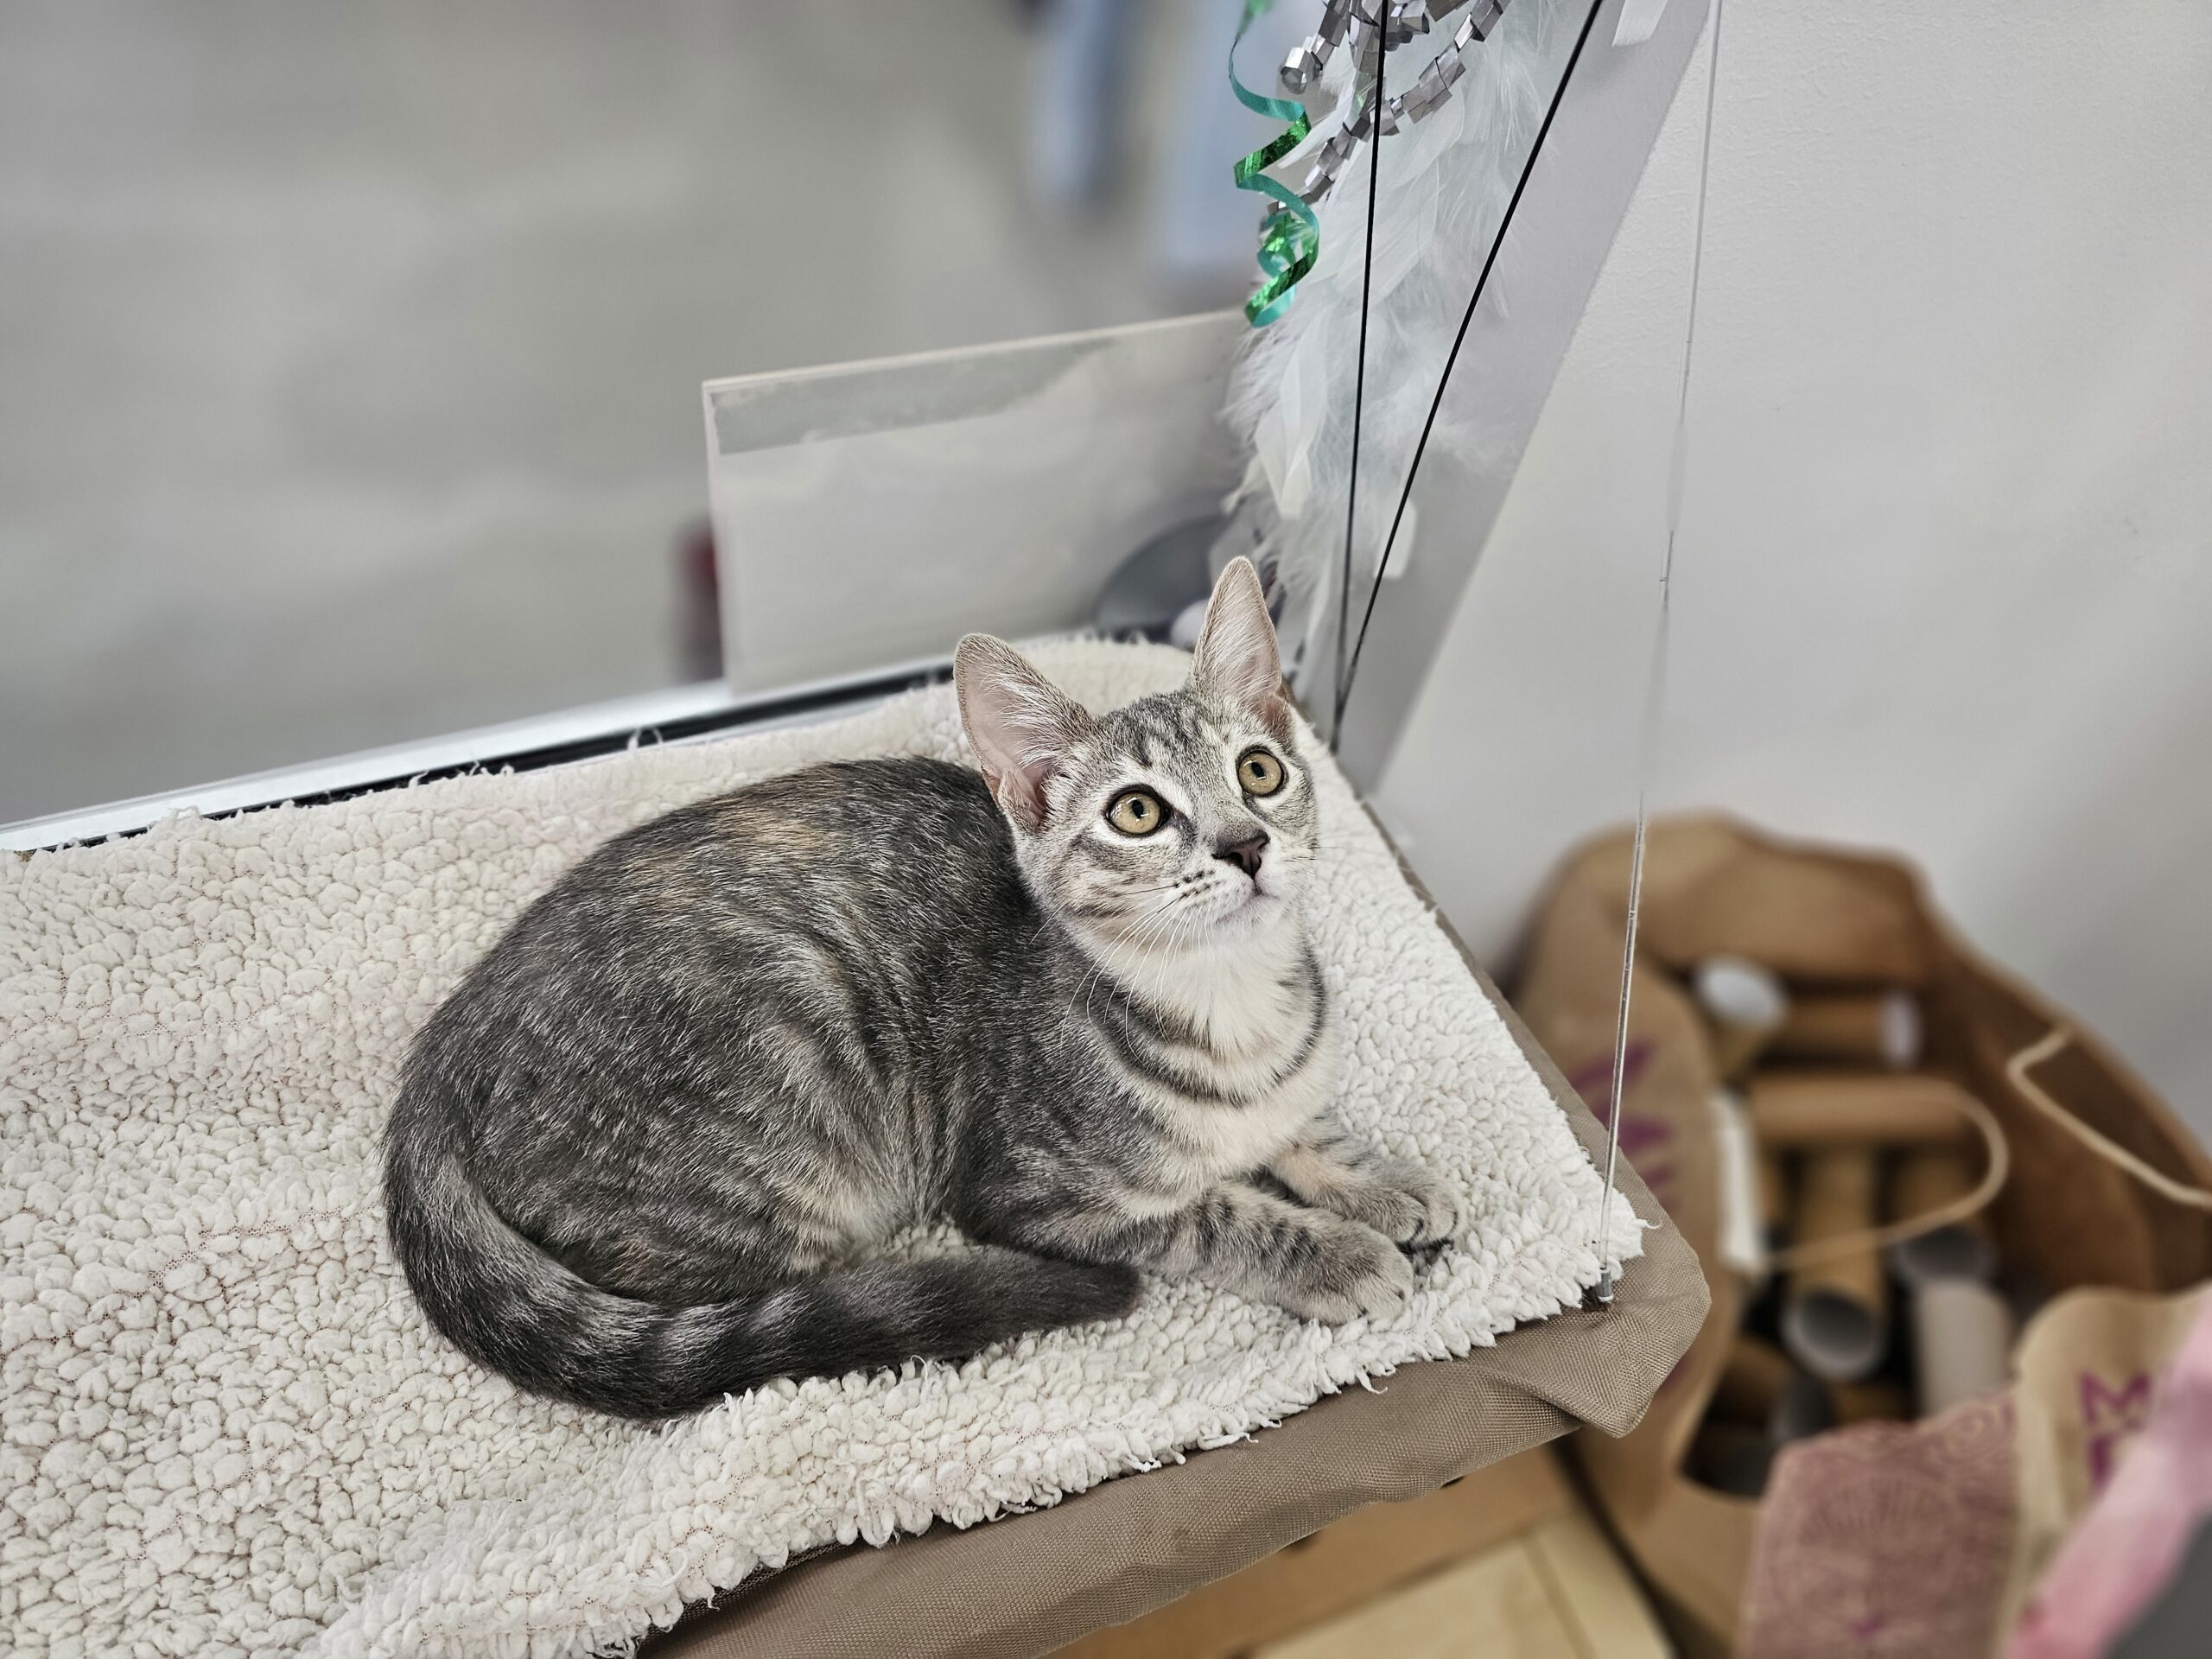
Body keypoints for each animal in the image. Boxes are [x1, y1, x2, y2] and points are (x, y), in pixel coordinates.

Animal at [383, 558, 1458, 1419]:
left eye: (1260, 770)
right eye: (1138, 813)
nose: (1245, 844)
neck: (1230, 1005)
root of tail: (442, 1054)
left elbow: (1296, 1124)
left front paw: (1381, 1180)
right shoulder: (1035, 1194)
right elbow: (1207, 1215)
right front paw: (1332, 1252)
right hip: (794, 1096)